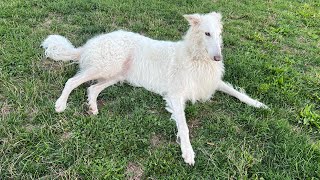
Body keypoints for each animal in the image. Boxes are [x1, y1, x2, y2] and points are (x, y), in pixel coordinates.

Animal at [42, 11, 268, 165]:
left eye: (219, 34)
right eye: (207, 33)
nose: (218, 58)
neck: (196, 57)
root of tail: (87, 46)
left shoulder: (212, 83)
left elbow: (238, 93)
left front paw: (259, 104)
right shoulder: (175, 95)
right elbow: (184, 127)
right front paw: (188, 152)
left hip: (116, 74)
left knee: (92, 89)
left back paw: (93, 107)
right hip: (107, 67)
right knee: (71, 82)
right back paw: (61, 104)